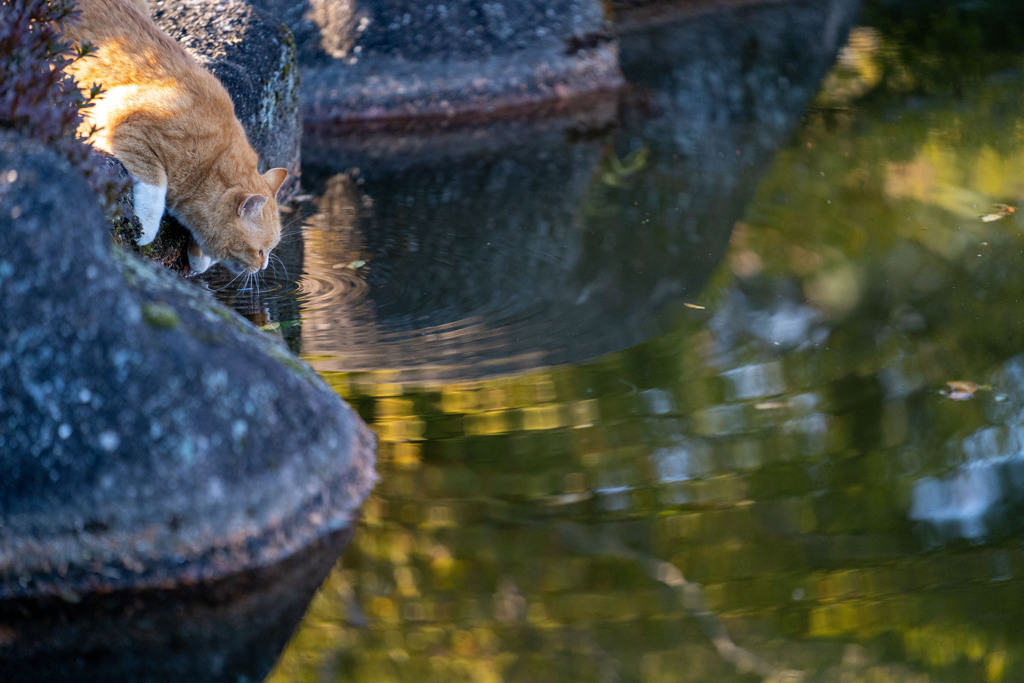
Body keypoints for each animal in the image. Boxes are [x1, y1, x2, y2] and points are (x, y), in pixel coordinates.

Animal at [61, 0, 286, 274]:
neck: (211, 158)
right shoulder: (124, 122)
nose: (263, 267)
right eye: (261, 251)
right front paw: (146, 229)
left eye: (270, 251)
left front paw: (199, 257)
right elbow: (154, 186)